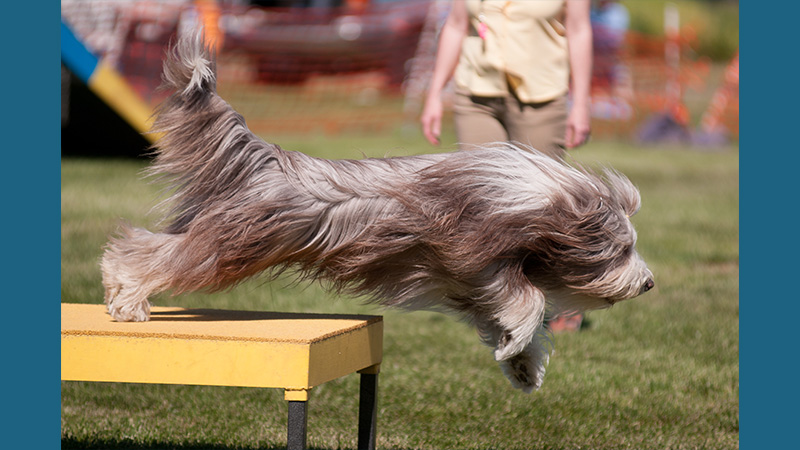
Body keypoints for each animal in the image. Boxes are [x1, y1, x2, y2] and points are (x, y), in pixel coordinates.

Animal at [100, 31, 652, 392]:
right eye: (622, 249)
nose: (648, 284)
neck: (539, 202)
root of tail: (269, 160)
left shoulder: (468, 278)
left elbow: (512, 315)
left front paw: (521, 365)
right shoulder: (474, 253)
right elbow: (528, 302)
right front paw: (517, 347)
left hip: (215, 233)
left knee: (148, 243)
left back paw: (116, 289)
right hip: (230, 247)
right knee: (153, 256)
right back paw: (128, 299)